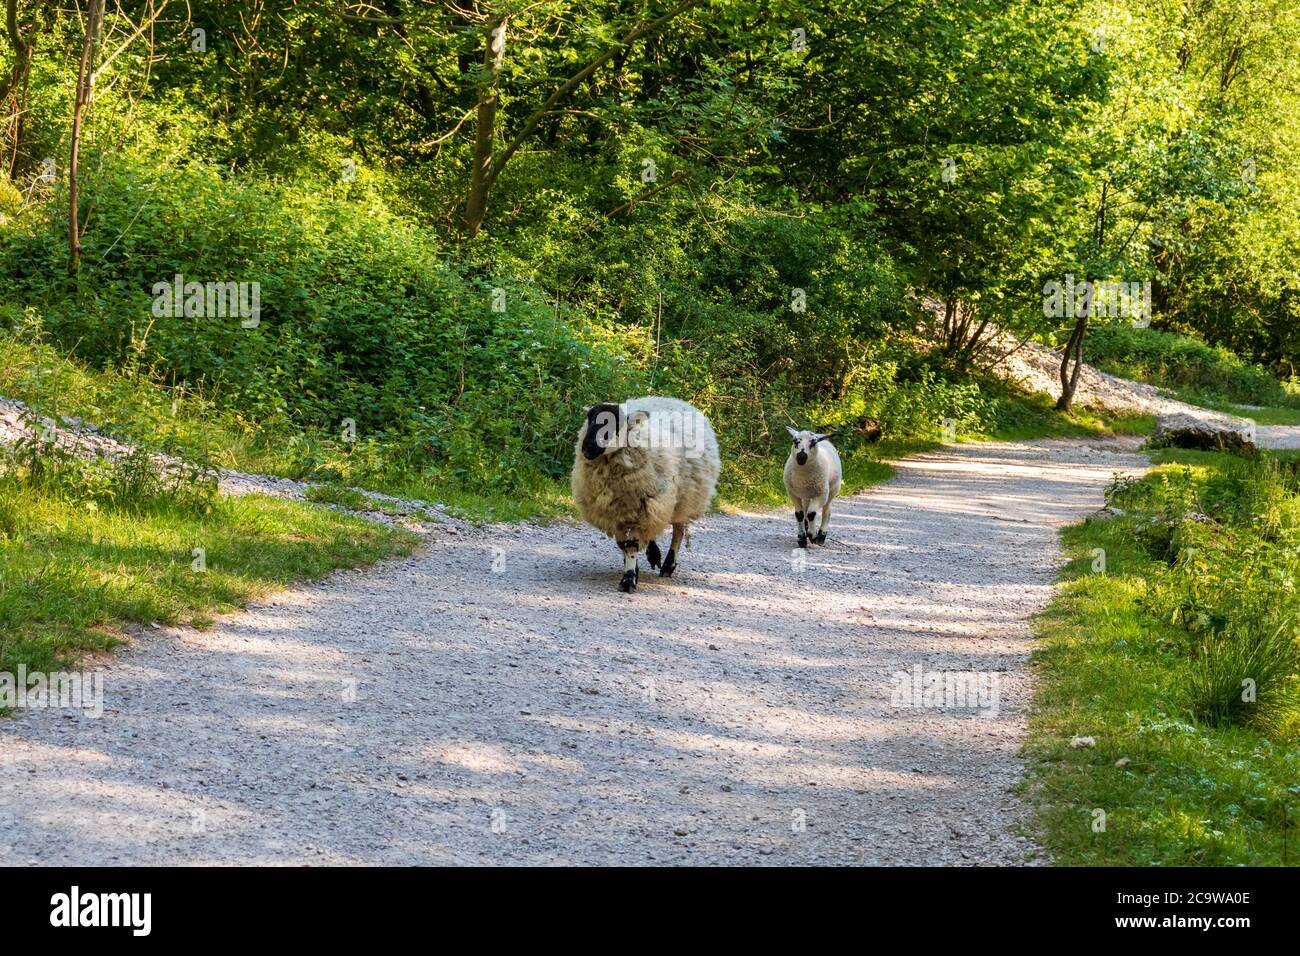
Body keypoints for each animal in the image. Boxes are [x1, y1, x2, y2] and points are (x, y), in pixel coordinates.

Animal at [574, 395, 722, 590]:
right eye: (589, 419)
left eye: (616, 422)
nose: (587, 447)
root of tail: (674, 399)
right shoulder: (619, 512)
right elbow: (623, 543)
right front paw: (633, 570)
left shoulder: (641, 509)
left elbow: (631, 544)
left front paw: (628, 580)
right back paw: (654, 555)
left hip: (683, 500)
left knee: (678, 531)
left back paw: (668, 565)